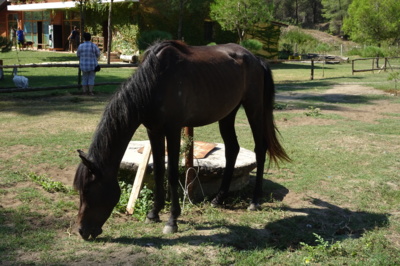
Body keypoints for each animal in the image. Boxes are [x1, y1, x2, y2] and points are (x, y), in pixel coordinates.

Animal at [73, 40, 290, 241]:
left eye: (89, 190)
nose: (82, 231)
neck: (155, 82)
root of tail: (255, 59)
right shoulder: (154, 131)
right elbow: (158, 171)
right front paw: (154, 213)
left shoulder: (173, 130)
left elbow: (171, 172)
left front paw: (172, 220)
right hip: (228, 113)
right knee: (232, 149)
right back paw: (218, 199)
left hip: (254, 108)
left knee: (260, 149)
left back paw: (255, 201)